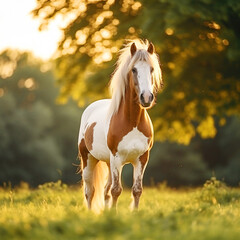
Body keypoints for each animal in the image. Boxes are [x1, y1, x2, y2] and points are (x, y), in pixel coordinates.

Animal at [78, 39, 162, 212]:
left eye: (151, 69)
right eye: (134, 69)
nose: (146, 97)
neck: (133, 122)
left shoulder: (142, 159)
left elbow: (137, 190)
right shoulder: (117, 158)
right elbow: (116, 190)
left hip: (108, 162)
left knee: (105, 191)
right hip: (88, 159)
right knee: (90, 191)